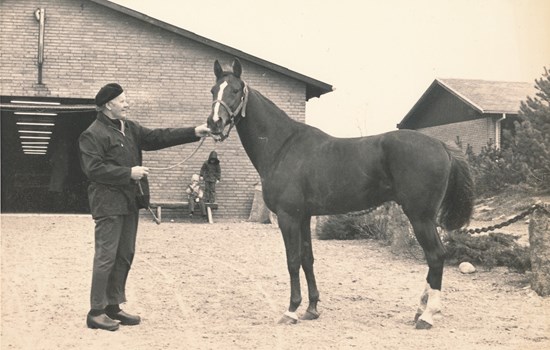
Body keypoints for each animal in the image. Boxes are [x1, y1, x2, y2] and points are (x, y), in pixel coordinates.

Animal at [205, 58, 476, 330]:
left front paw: (291, 310)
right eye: (213, 90)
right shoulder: (304, 217)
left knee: (436, 256)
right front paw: (312, 308)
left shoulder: (288, 217)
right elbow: (307, 258)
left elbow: (292, 260)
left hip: (420, 217)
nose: (214, 123)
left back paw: (428, 316)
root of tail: (441, 145)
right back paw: (420, 310)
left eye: (235, 90)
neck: (283, 146)